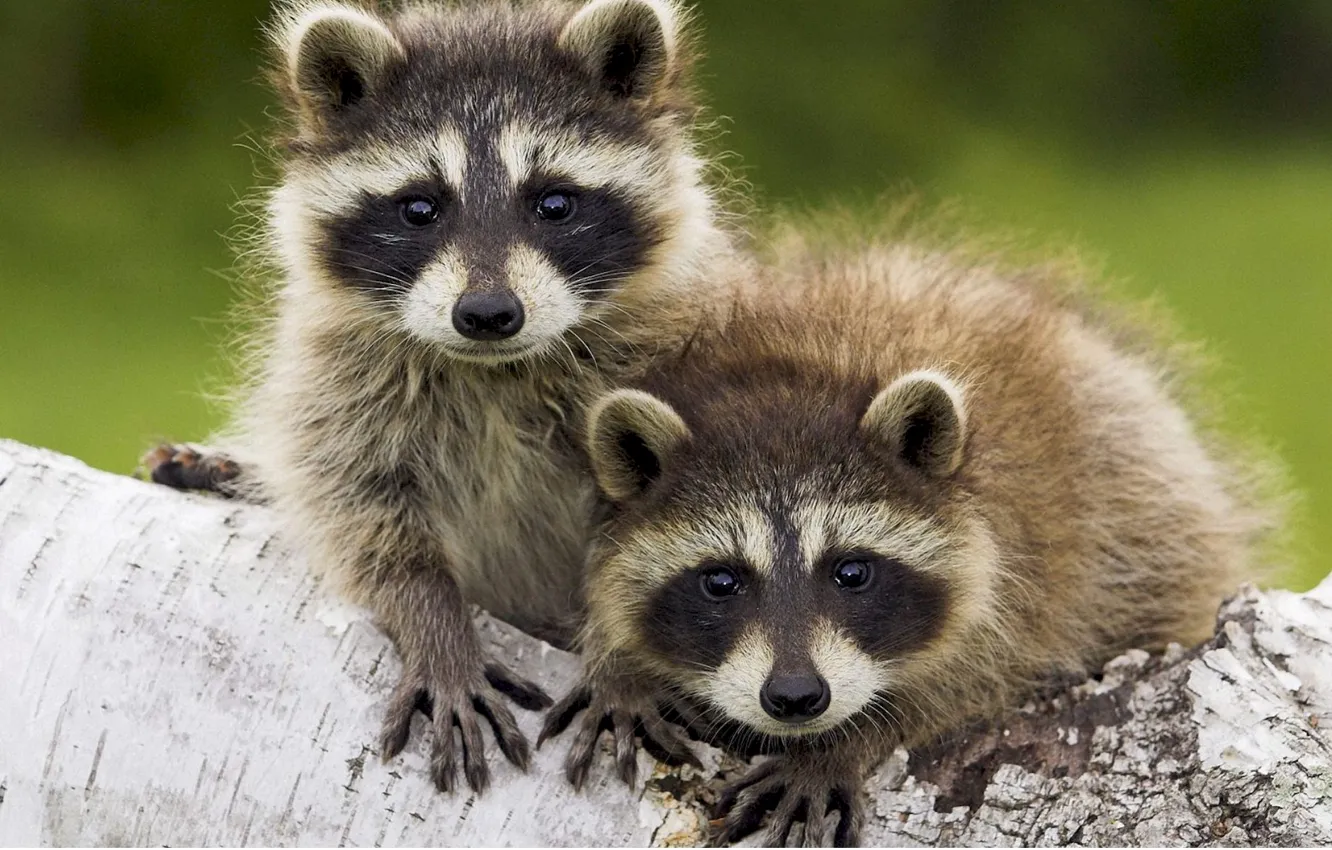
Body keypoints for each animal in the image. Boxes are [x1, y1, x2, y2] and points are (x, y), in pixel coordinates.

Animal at [144, 0, 746, 794]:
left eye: (555, 202)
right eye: (419, 208)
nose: (487, 313)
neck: (494, 368)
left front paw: (622, 663)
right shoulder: (338, 380)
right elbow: (362, 512)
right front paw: (435, 625)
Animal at [541, 235, 1275, 845]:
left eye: (851, 572)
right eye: (721, 580)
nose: (797, 697)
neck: (791, 373)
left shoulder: (1029, 558)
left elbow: (975, 673)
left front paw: (845, 742)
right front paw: (620, 664)